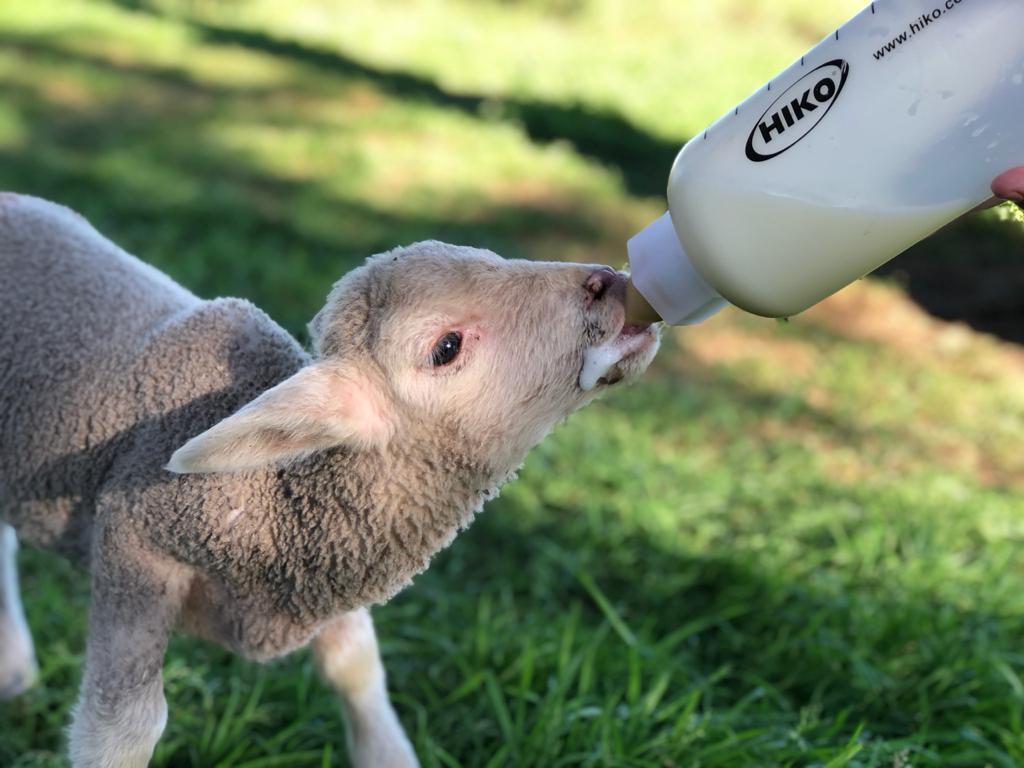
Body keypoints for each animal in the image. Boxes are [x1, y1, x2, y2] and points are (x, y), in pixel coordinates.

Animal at [0, 193, 655, 768]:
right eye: (446, 347)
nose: (609, 281)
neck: (273, 499)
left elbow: (357, 665)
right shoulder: (132, 546)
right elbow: (123, 727)